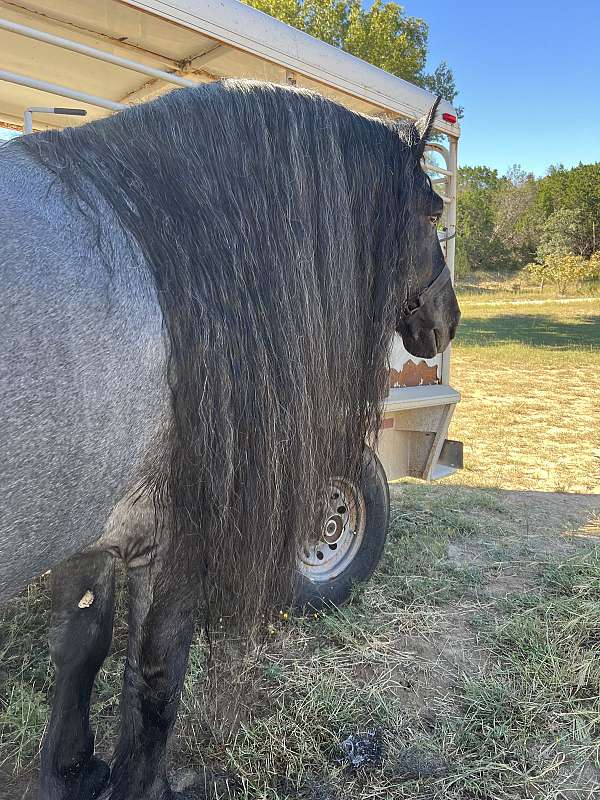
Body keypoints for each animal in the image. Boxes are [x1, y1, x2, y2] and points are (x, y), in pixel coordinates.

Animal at [0, 79, 460, 800]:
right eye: (432, 209)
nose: (450, 320)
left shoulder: (86, 522)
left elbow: (79, 642)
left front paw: (71, 770)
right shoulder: (175, 538)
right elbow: (155, 681)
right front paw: (132, 781)